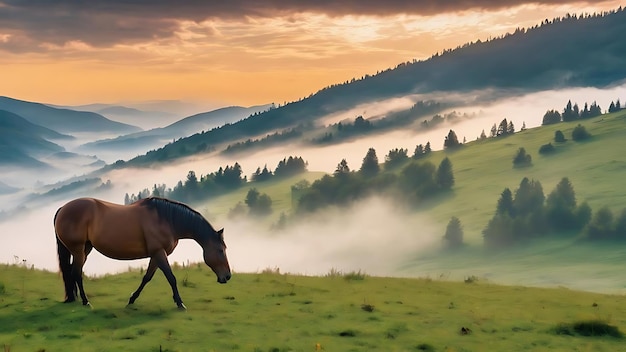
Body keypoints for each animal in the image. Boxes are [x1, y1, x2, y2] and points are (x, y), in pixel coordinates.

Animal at [53, 197, 229, 310]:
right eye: (220, 250)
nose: (227, 276)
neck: (166, 219)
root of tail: (63, 209)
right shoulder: (159, 253)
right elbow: (171, 278)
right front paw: (180, 303)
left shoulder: (156, 255)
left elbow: (147, 278)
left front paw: (132, 299)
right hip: (78, 249)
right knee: (76, 273)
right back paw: (85, 301)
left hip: (85, 248)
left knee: (72, 271)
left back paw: (75, 298)